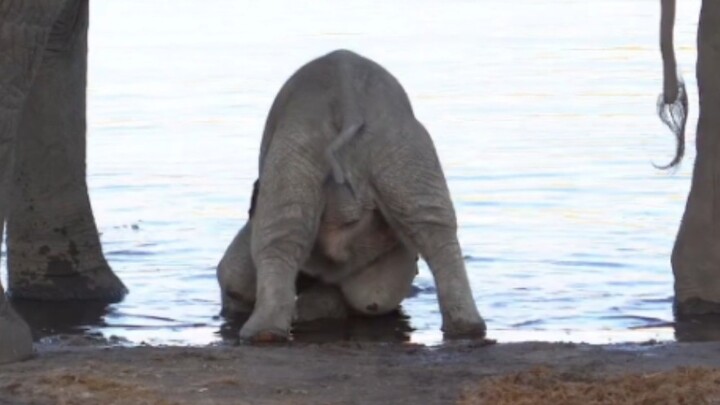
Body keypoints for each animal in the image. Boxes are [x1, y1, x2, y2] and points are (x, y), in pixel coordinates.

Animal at [217, 49, 487, 342]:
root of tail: (348, 101)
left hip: (299, 142)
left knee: (279, 234)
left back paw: (261, 334)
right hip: (403, 146)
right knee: (434, 225)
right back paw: (467, 328)